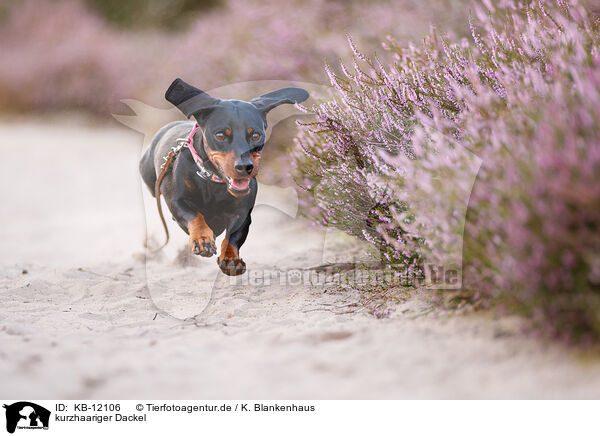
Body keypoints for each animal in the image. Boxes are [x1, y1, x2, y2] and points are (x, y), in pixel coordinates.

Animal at [140, 79, 308, 276]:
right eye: (220, 135)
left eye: (256, 135)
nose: (245, 167)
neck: (212, 180)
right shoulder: (176, 201)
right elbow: (194, 215)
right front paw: (202, 239)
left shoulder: (242, 213)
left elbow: (233, 236)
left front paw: (230, 259)